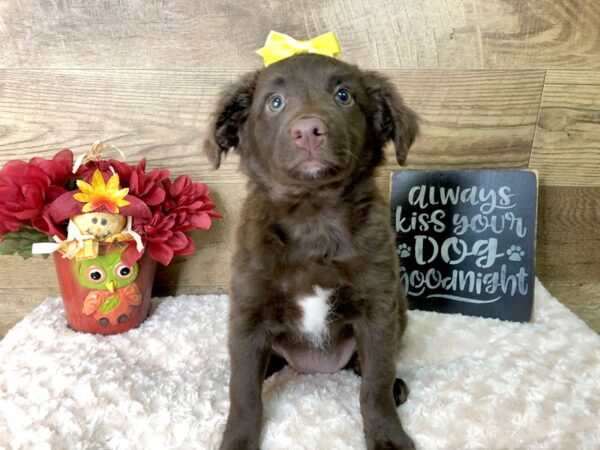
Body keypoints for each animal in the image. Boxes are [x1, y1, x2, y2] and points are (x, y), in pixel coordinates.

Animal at [204, 53, 420, 450]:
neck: (313, 216)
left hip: (400, 309)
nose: (308, 130)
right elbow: (243, 390)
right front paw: (238, 440)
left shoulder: (379, 306)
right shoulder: (248, 311)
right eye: (275, 102)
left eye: (343, 96)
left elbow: (376, 384)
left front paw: (388, 435)